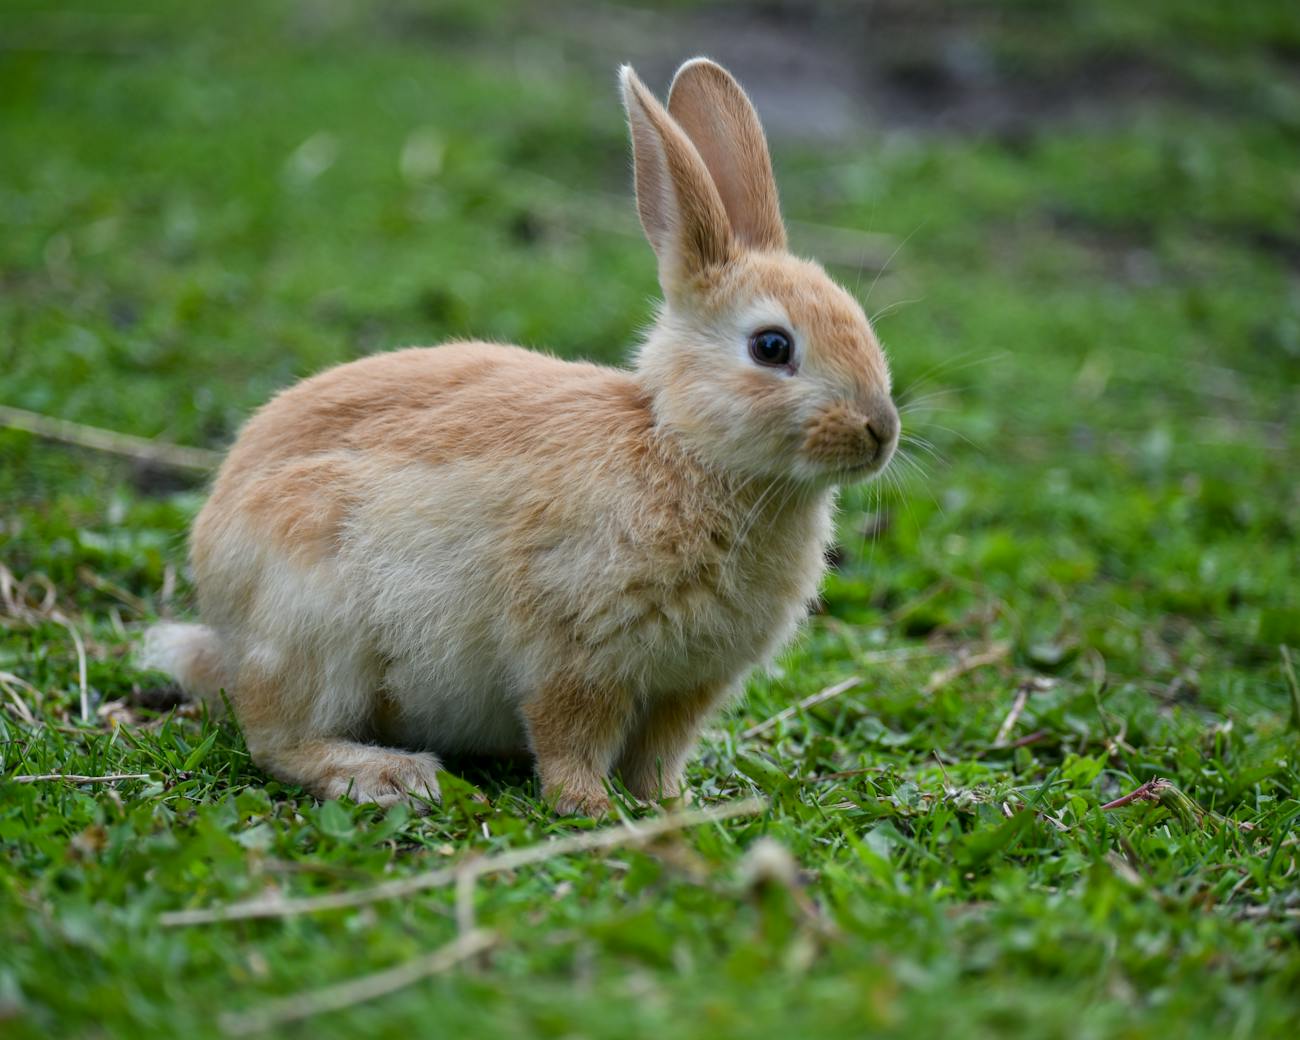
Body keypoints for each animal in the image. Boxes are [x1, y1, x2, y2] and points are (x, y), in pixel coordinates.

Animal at [139, 58, 894, 821]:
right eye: (772, 347)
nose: (881, 431)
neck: (685, 449)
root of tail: (218, 607)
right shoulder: (575, 651)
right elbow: (568, 737)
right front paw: (590, 809)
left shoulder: (687, 687)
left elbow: (659, 754)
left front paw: (671, 804)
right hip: (315, 626)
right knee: (275, 739)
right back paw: (392, 776)